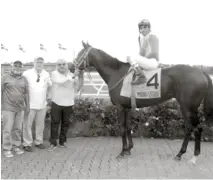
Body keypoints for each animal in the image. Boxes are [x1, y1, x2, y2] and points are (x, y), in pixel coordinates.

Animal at [73, 41, 213, 165]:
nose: (71, 67)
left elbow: (122, 128)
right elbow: (128, 127)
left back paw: (193, 156)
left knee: (197, 128)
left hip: (189, 107)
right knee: (190, 127)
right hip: (185, 107)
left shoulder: (120, 107)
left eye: (80, 53)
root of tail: (200, 72)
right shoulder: (127, 107)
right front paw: (129, 149)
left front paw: (122, 152)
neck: (116, 73)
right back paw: (180, 154)